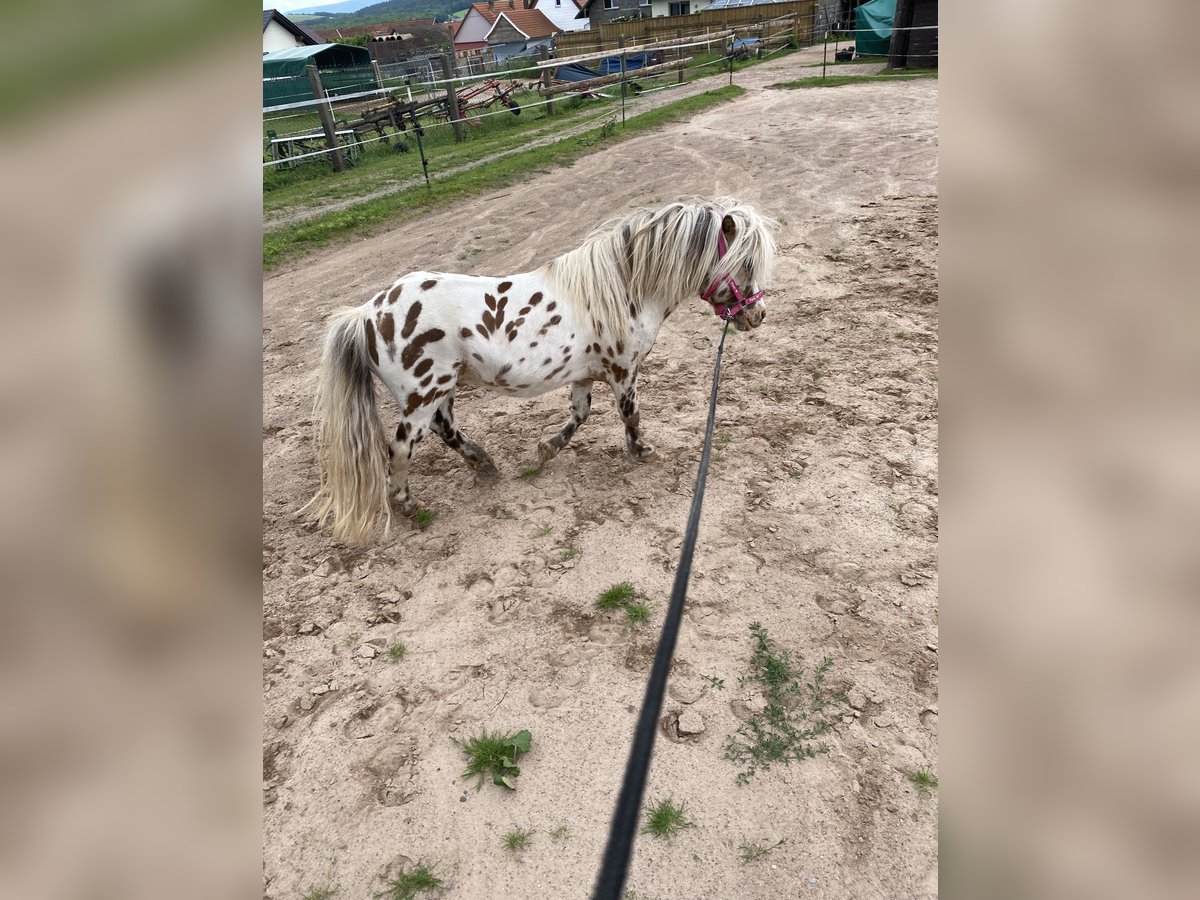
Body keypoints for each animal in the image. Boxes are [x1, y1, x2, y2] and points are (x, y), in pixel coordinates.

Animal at [309, 199, 777, 542]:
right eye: (745, 263)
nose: (757, 316)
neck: (622, 286)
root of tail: (367, 314)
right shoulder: (624, 371)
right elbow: (630, 415)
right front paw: (642, 451)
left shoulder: (586, 372)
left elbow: (580, 414)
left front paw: (546, 449)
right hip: (422, 394)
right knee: (401, 449)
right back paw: (409, 504)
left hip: (439, 391)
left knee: (446, 430)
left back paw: (484, 465)